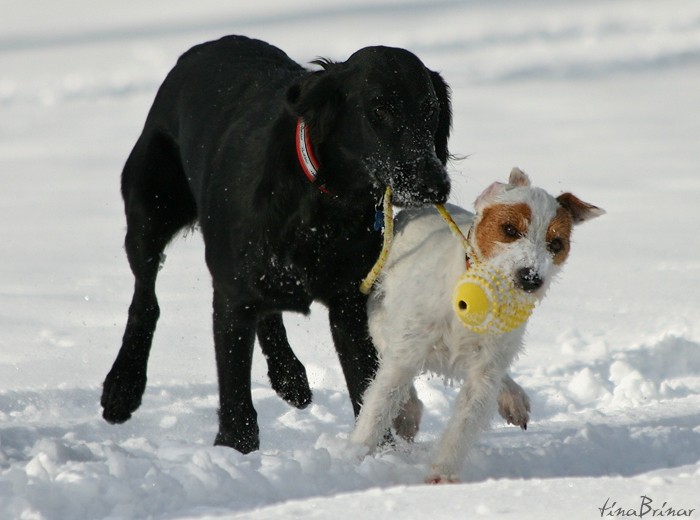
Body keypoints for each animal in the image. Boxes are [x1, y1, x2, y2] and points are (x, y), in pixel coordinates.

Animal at [101, 34, 454, 452]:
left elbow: (364, 386)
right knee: (145, 299)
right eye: (380, 109)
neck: (324, 205)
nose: (435, 184)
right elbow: (234, 387)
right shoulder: (231, 294)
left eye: (431, 111)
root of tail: (203, 46)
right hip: (151, 210)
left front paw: (379, 453)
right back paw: (122, 387)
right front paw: (236, 449)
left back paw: (290, 376)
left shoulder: (349, 303)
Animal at [352, 169, 604, 482]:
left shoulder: (484, 372)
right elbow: (378, 407)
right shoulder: (407, 351)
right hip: (381, 320)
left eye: (556, 244)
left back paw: (512, 398)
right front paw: (351, 459)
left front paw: (442, 474)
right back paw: (407, 412)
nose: (531, 278)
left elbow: (465, 422)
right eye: (509, 229)